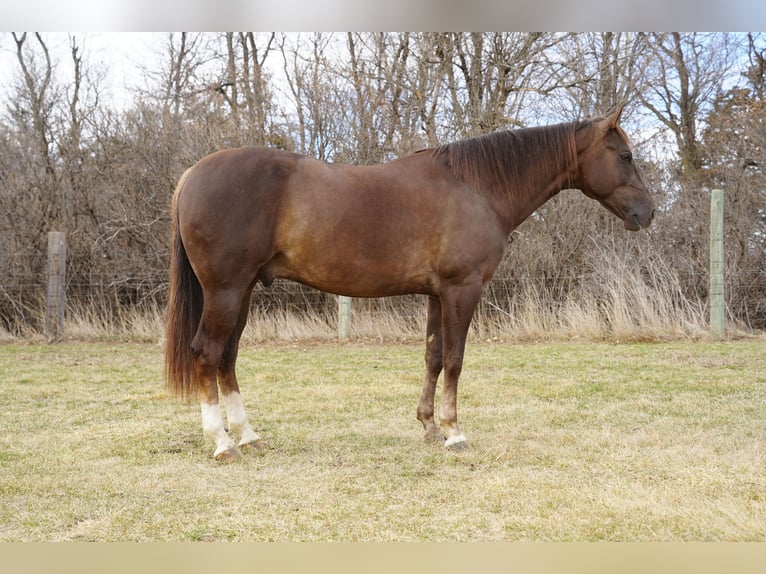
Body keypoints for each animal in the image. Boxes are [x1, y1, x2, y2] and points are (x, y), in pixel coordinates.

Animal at [165, 106, 655, 461]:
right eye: (625, 156)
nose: (648, 213)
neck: (478, 188)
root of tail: (191, 174)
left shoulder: (438, 295)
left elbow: (433, 357)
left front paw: (430, 426)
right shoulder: (462, 289)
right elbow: (455, 359)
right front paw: (455, 433)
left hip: (243, 291)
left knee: (227, 357)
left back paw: (248, 436)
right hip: (226, 291)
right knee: (207, 354)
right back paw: (223, 444)